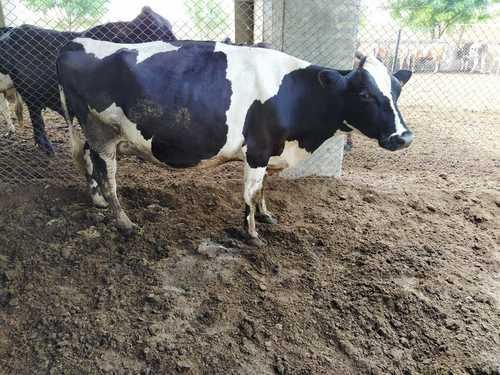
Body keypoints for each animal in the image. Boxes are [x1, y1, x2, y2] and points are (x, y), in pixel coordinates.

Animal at [56, 40, 412, 244]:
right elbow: (251, 193)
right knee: (108, 176)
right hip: (102, 132)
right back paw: (124, 221)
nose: (404, 136)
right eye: (364, 94)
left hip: (92, 134)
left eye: (397, 91)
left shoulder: (270, 152)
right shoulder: (257, 149)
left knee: (88, 161)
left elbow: (263, 188)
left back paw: (98, 202)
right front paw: (252, 234)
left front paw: (267, 217)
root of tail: (75, 41)